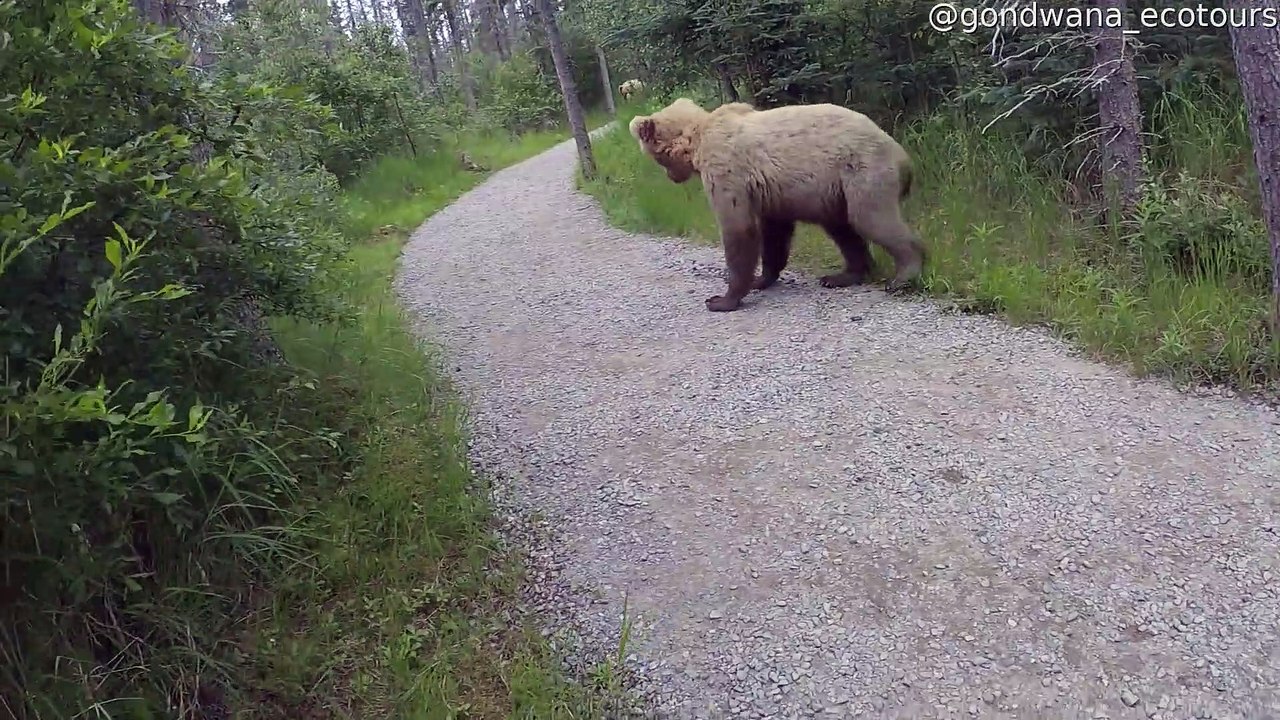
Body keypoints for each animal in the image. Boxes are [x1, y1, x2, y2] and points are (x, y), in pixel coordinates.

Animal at [627, 98, 925, 312]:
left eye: (657, 158)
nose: (672, 177)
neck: (698, 139)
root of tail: (904, 157)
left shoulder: (727, 171)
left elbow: (738, 228)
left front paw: (721, 299)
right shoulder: (771, 193)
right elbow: (774, 233)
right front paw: (762, 278)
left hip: (861, 171)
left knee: (871, 218)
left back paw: (902, 276)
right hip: (835, 191)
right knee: (843, 229)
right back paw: (841, 276)